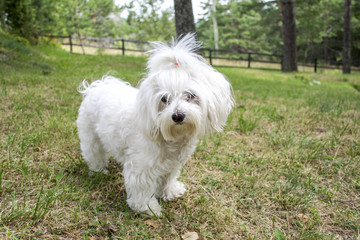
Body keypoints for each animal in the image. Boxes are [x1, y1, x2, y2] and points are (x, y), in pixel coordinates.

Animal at [76, 33, 233, 216]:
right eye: (164, 99)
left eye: (190, 95)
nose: (177, 116)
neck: (170, 138)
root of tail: (97, 86)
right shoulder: (141, 165)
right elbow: (141, 187)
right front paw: (147, 207)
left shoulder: (172, 164)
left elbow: (168, 178)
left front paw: (169, 191)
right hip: (90, 136)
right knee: (94, 154)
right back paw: (99, 170)